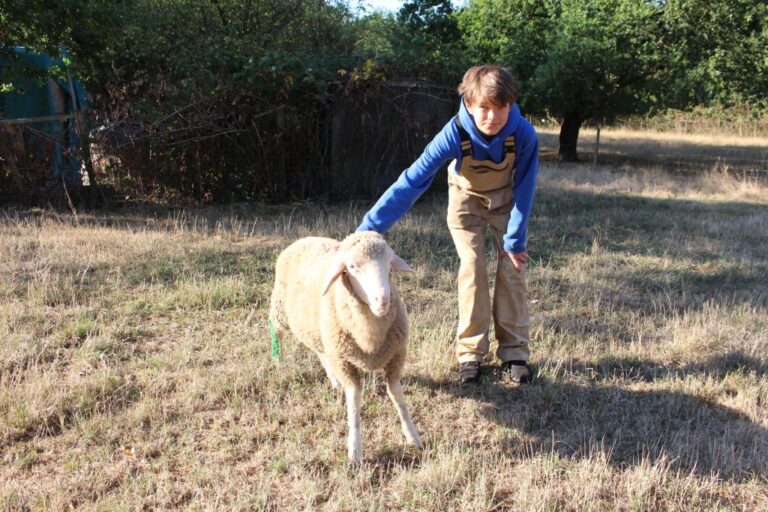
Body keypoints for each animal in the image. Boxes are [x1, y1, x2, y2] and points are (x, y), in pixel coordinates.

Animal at [268, 232, 424, 464]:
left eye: (389, 263)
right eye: (351, 267)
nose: (383, 300)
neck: (370, 336)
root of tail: (305, 238)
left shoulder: (396, 355)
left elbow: (398, 397)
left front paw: (412, 435)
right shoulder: (344, 362)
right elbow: (354, 404)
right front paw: (355, 450)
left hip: (321, 332)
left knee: (320, 352)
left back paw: (333, 381)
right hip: (281, 311)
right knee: (276, 331)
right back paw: (279, 363)